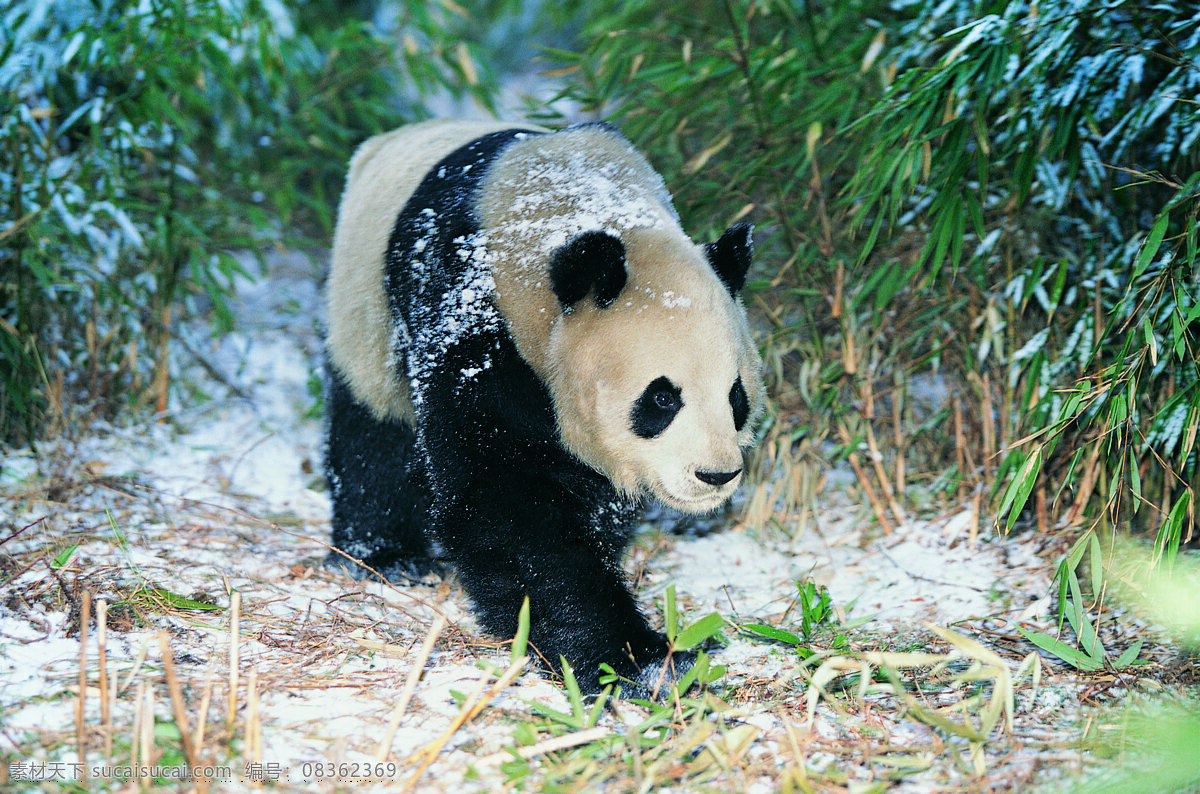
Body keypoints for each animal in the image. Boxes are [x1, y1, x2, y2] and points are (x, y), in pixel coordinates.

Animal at [324, 118, 763, 705]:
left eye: (735, 397)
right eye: (662, 399)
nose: (715, 475)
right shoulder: (475, 322)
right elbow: (506, 504)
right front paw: (638, 661)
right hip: (364, 304)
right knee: (372, 434)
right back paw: (382, 555)